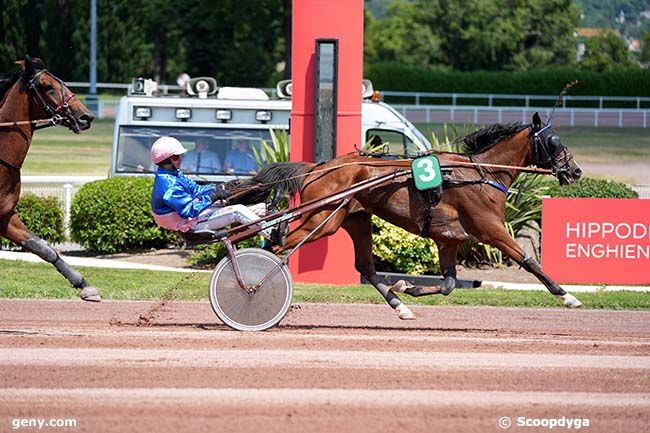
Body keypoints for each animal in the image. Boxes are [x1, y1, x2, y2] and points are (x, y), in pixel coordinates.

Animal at [232, 111, 584, 318]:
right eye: (554, 142)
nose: (576, 171)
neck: (481, 174)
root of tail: (317, 167)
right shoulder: (491, 230)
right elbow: (530, 261)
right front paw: (568, 296)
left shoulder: (448, 240)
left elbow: (449, 284)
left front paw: (407, 288)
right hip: (322, 220)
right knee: (278, 245)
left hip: (353, 219)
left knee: (364, 266)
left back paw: (400, 306)